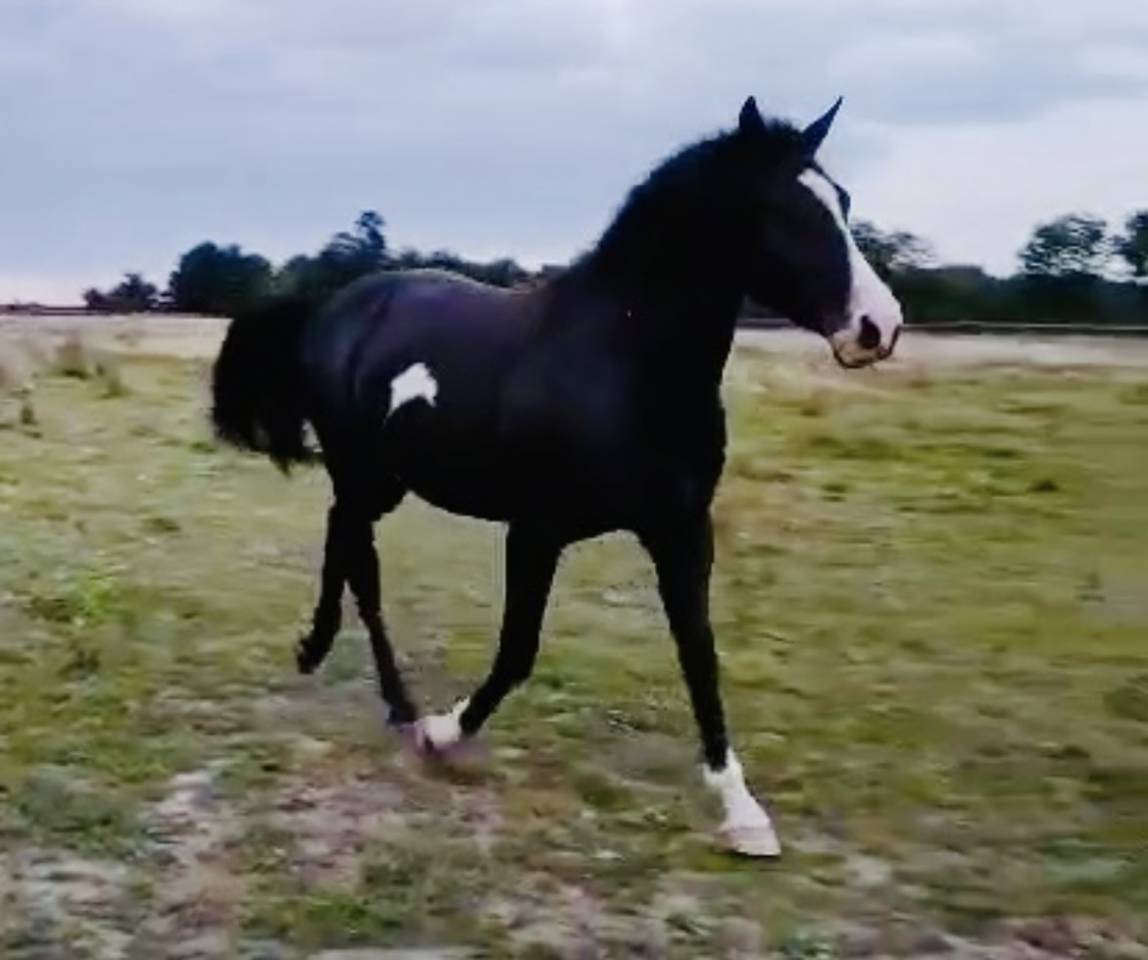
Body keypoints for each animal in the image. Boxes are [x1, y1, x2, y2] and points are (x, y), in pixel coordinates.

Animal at [210, 96, 903, 857]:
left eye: (843, 201)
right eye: (784, 211)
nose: (879, 327)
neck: (623, 363)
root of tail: (335, 306)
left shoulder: (681, 530)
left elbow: (700, 653)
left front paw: (742, 811)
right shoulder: (536, 530)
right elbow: (518, 649)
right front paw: (444, 733)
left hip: (382, 481)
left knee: (341, 538)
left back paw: (316, 650)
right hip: (365, 473)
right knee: (362, 567)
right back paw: (400, 706)